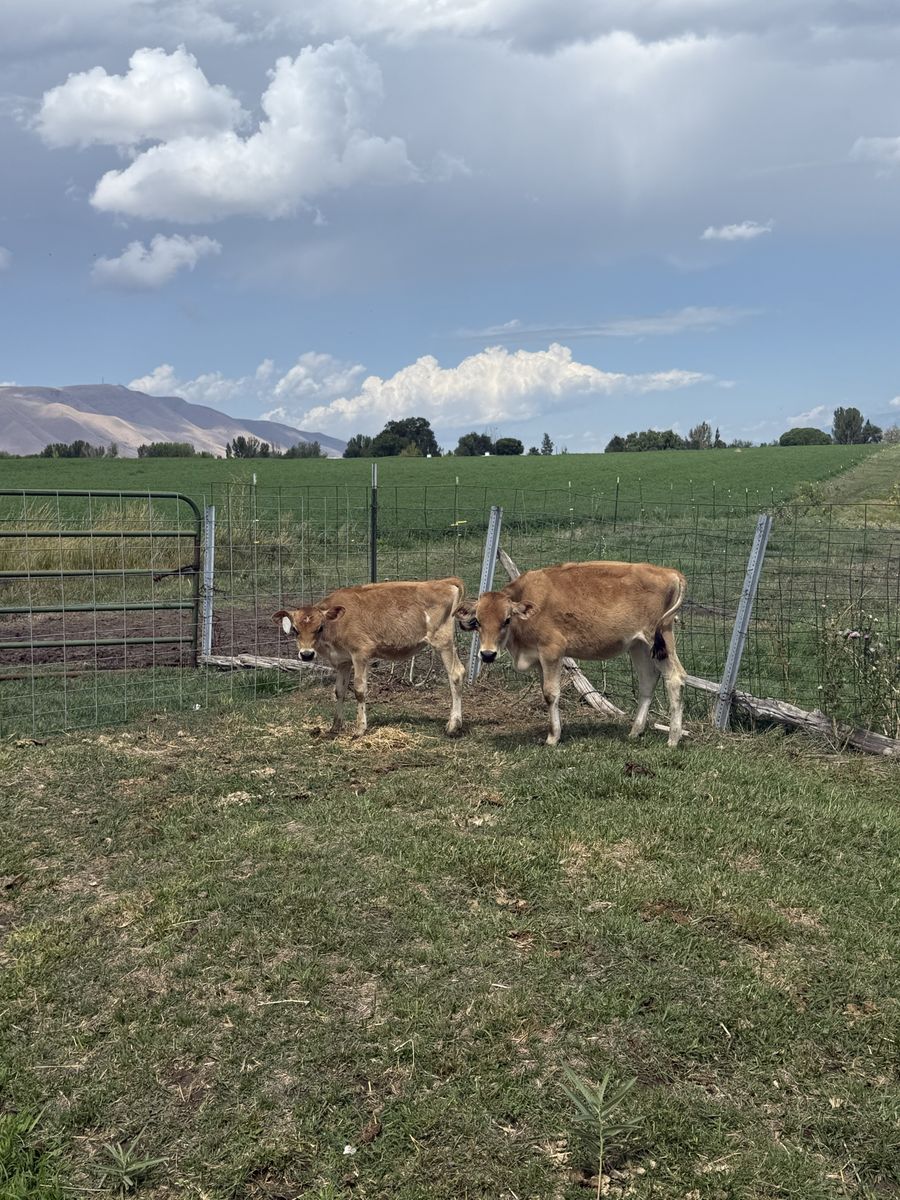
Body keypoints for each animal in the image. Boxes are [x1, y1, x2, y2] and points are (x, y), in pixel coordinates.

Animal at [273, 577, 466, 738]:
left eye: (320, 627)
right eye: (295, 630)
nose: (306, 654)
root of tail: (445, 581)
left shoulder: (361, 653)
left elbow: (359, 690)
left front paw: (360, 729)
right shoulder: (343, 661)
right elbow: (339, 691)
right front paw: (335, 727)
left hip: (443, 642)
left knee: (456, 674)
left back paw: (453, 726)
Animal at [454, 561, 687, 747]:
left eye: (507, 620)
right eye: (478, 622)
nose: (487, 654)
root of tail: (671, 572)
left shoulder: (552, 651)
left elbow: (551, 693)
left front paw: (553, 737)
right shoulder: (539, 659)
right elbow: (546, 693)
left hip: (659, 639)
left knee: (675, 678)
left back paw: (673, 738)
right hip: (639, 645)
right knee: (647, 681)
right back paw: (635, 731)